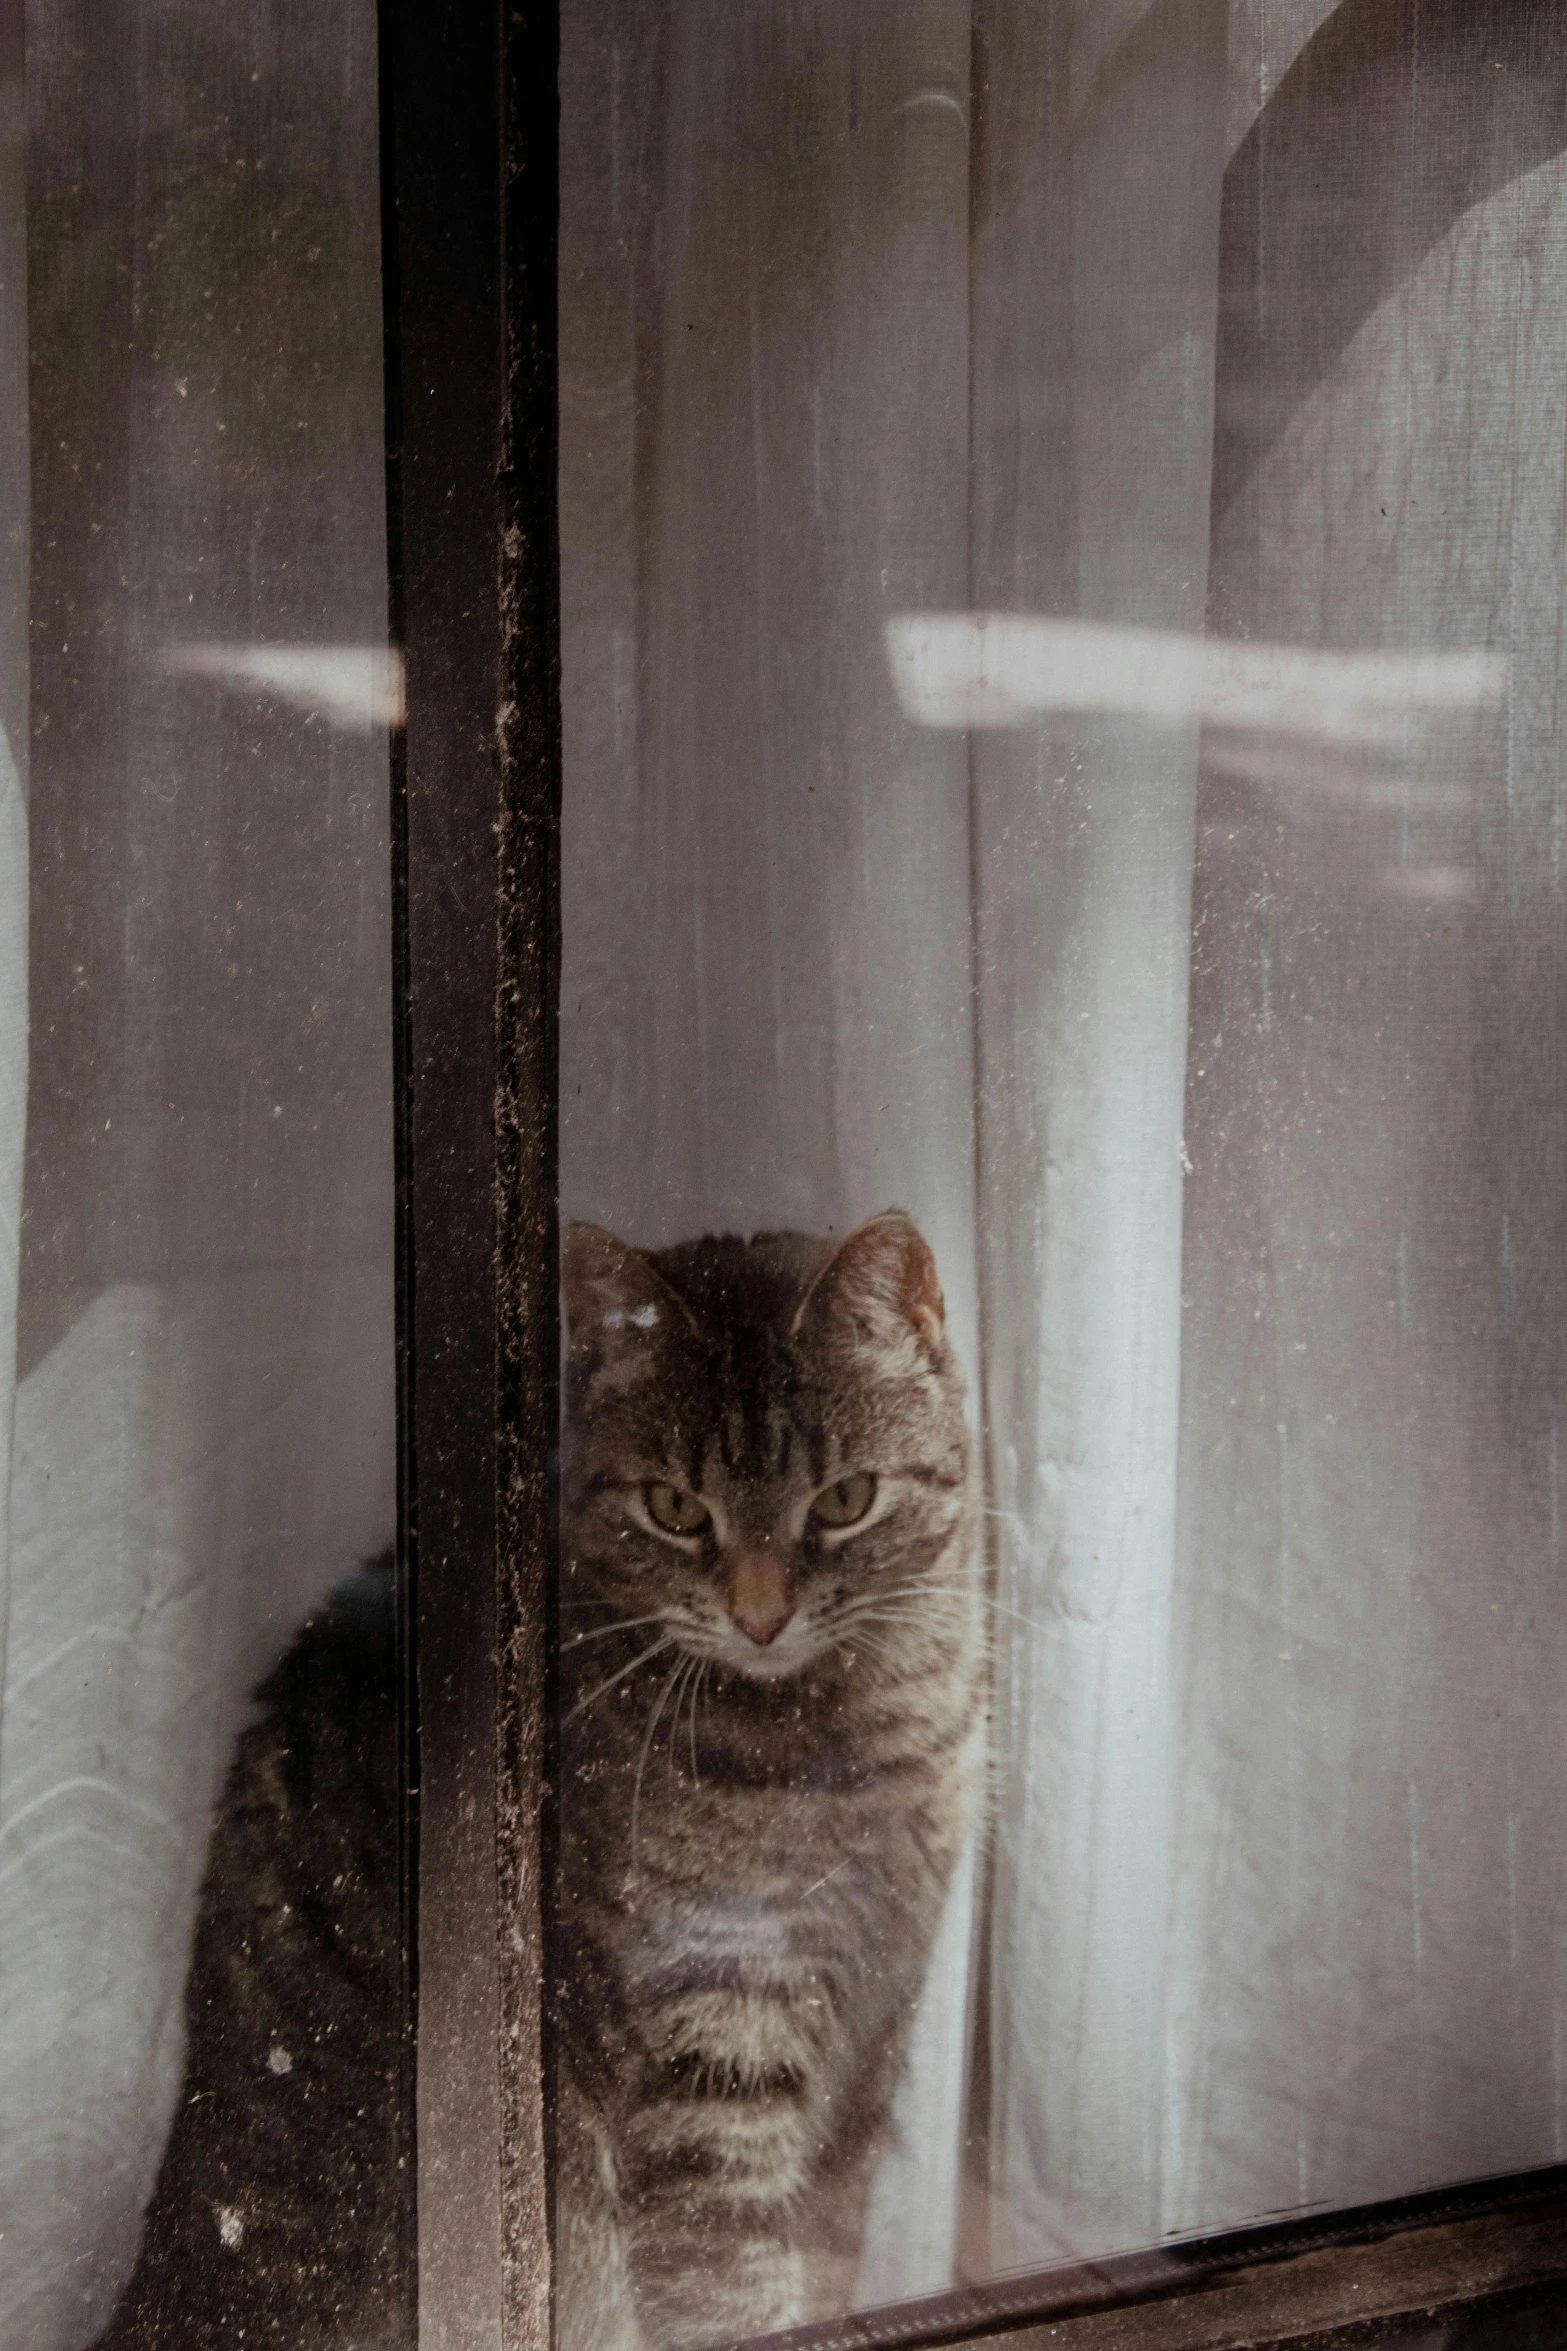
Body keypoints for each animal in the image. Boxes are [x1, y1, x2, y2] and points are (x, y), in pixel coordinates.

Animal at [561, 1213, 982, 2351]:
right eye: (673, 1506)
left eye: (843, 1499)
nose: (759, 1617)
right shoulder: (708, 2041)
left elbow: (828, 2243)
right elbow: (732, 2285)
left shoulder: (874, 2034)